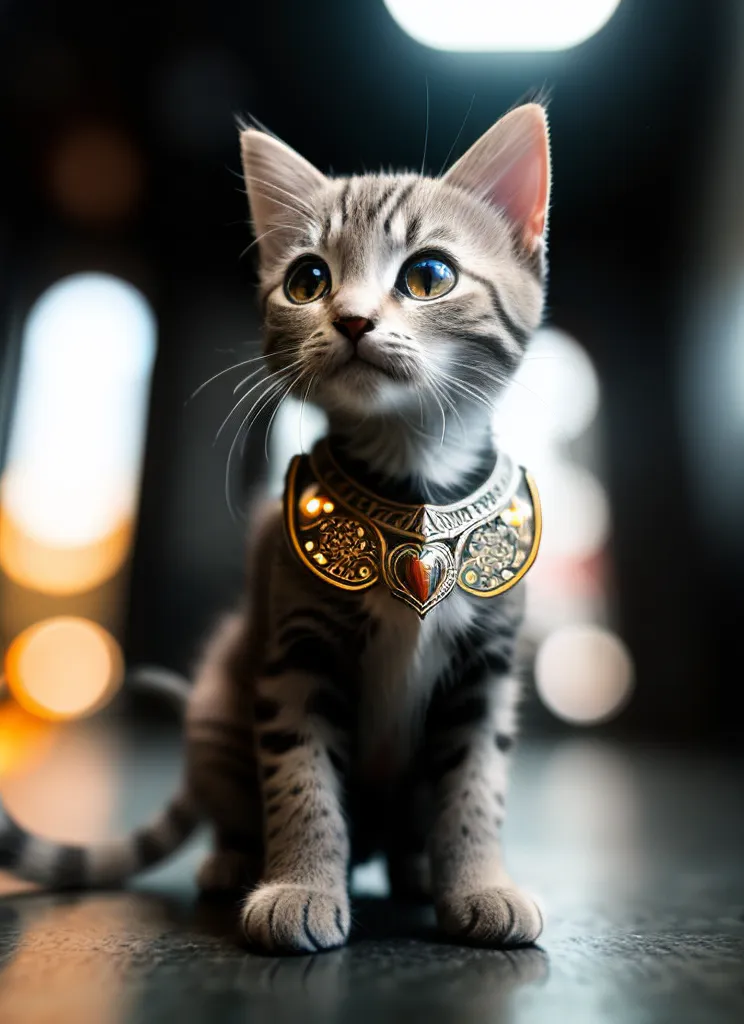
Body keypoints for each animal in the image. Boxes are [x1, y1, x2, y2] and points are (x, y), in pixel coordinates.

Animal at [1, 101, 552, 950]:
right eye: (308, 280)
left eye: (429, 275)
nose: (352, 320)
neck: (412, 480)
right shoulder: (296, 654)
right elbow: (300, 780)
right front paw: (300, 884)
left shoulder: (486, 672)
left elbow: (476, 788)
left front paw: (480, 882)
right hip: (216, 707)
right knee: (236, 805)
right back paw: (235, 861)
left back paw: (416, 869)